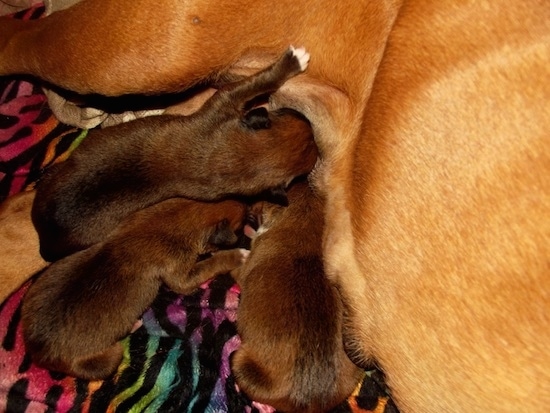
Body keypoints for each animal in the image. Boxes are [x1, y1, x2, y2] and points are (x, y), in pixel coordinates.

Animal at [22, 196, 248, 380]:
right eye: (239, 226)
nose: (248, 208)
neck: (186, 213)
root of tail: (36, 350)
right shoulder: (181, 275)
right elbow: (209, 264)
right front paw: (237, 255)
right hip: (103, 360)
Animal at [32, 46, 320, 260]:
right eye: (292, 115)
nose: (317, 138)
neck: (228, 160)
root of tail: (46, 240)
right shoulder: (226, 100)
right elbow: (256, 83)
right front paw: (293, 62)